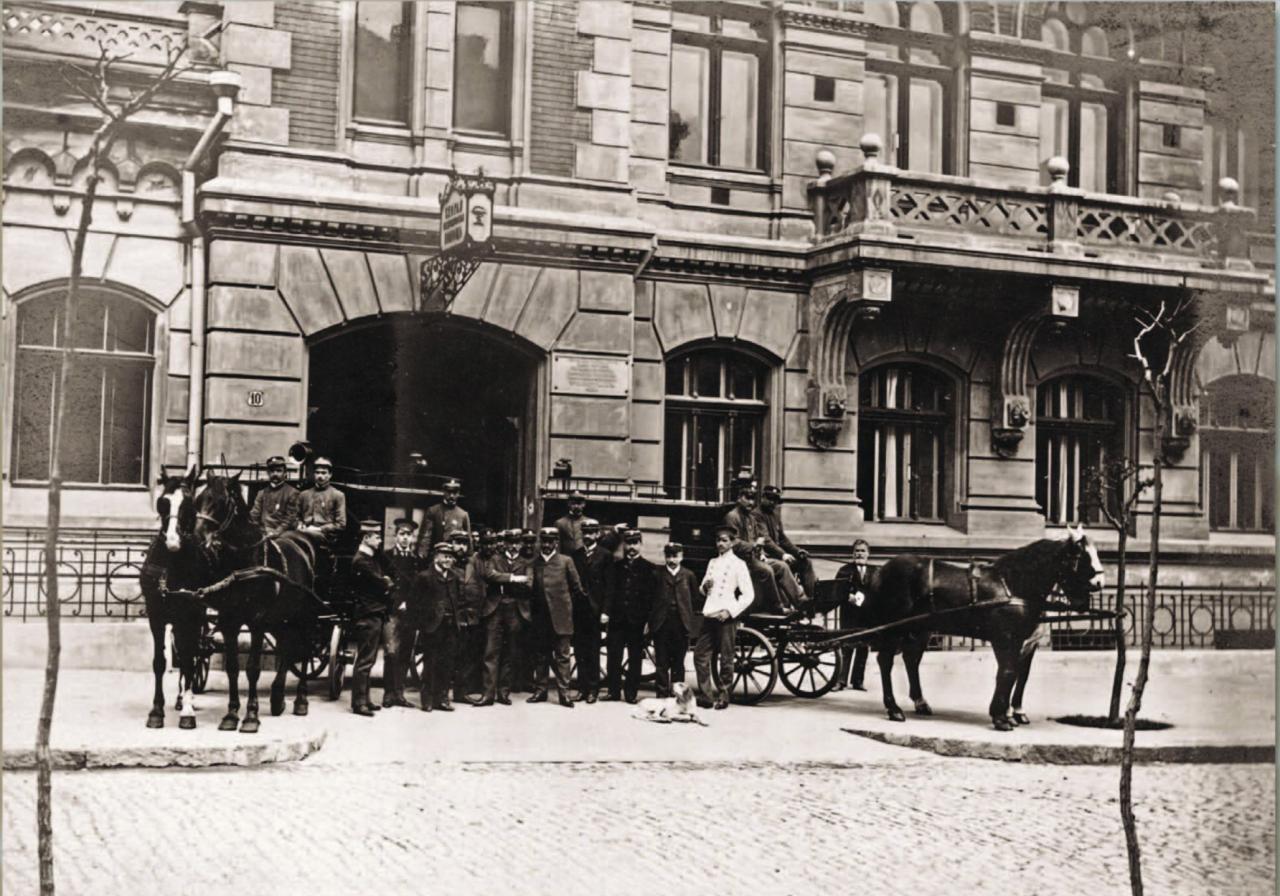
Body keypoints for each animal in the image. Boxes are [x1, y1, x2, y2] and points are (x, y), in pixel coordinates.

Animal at [140, 465, 211, 729]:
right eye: (162, 502)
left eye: (190, 504)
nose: (172, 541)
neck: (172, 564)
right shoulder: (156, 615)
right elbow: (160, 662)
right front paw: (156, 711)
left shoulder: (191, 616)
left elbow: (190, 659)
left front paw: (188, 712)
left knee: (189, 654)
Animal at [192, 471, 320, 733]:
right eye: (198, 500)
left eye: (220, 502)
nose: (199, 539)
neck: (243, 561)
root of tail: (303, 541)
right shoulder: (229, 621)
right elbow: (233, 667)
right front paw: (231, 714)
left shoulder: (258, 622)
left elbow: (252, 668)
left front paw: (251, 716)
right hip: (282, 618)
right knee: (287, 648)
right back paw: (278, 698)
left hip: (304, 616)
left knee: (304, 651)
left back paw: (301, 700)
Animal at [860, 525, 1104, 731]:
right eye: (1081, 555)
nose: (1099, 584)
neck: (1012, 584)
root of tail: (882, 571)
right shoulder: (1005, 638)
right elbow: (1007, 672)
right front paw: (1001, 717)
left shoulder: (1023, 643)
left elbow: (1016, 675)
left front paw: (1009, 714)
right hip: (894, 629)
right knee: (885, 661)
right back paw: (894, 708)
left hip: (920, 629)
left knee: (911, 659)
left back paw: (920, 703)